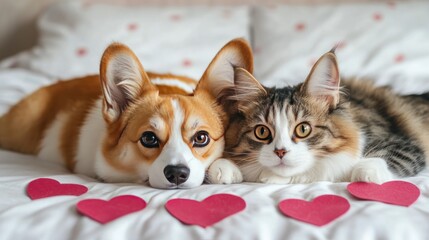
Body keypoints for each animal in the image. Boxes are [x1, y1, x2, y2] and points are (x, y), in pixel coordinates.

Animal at [206, 48, 426, 184]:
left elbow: (375, 159)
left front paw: (366, 175)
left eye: (303, 129)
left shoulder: (405, 144)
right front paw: (224, 170)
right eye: (262, 132)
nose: (280, 152)